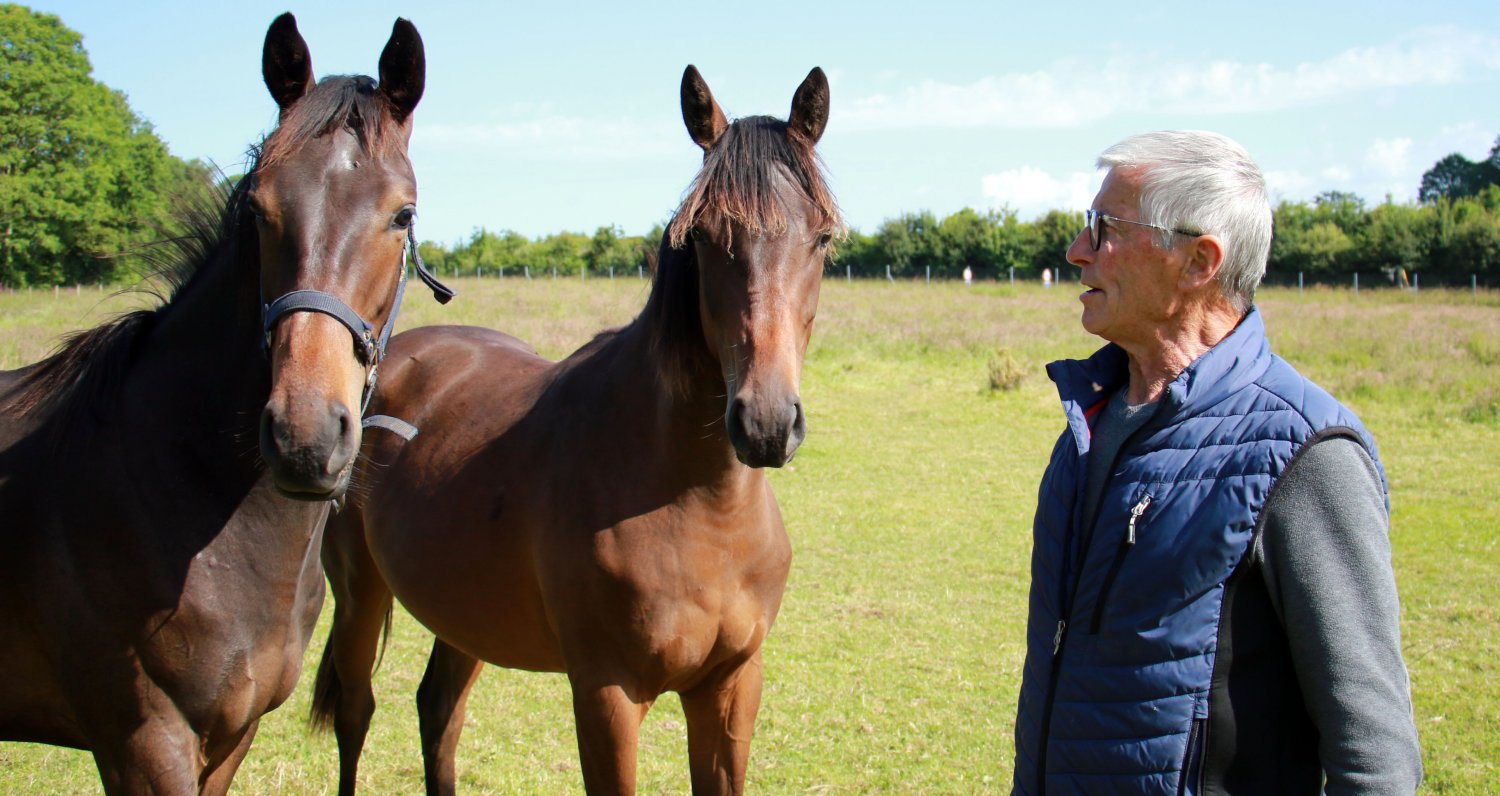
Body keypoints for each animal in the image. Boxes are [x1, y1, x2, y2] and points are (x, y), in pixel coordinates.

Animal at [312, 65, 837, 795]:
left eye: (822, 238)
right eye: (704, 236)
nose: (765, 423)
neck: (700, 507)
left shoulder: (731, 688)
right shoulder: (606, 694)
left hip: (464, 614)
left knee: (437, 710)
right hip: (359, 593)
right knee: (358, 714)